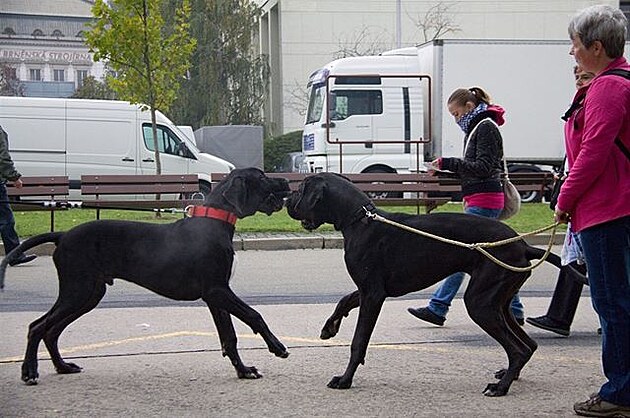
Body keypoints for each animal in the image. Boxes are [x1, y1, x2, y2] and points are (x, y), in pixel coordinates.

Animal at [0, 167, 292, 386]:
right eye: (262, 177)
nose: (286, 181)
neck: (214, 221)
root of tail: (61, 236)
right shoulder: (218, 291)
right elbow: (254, 315)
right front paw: (277, 346)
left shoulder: (215, 296)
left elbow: (229, 337)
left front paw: (243, 370)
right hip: (77, 290)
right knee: (37, 326)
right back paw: (29, 372)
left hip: (89, 294)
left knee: (51, 330)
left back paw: (62, 367)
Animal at [288, 173, 572, 396]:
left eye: (301, 190)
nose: (287, 199)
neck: (359, 219)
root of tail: (523, 246)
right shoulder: (371, 289)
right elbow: (344, 299)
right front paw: (330, 327)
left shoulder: (373, 295)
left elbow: (359, 341)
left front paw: (345, 380)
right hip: (497, 300)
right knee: (528, 345)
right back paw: (508, 375)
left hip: (480, 302)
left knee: (519, 348)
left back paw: (500, 387)